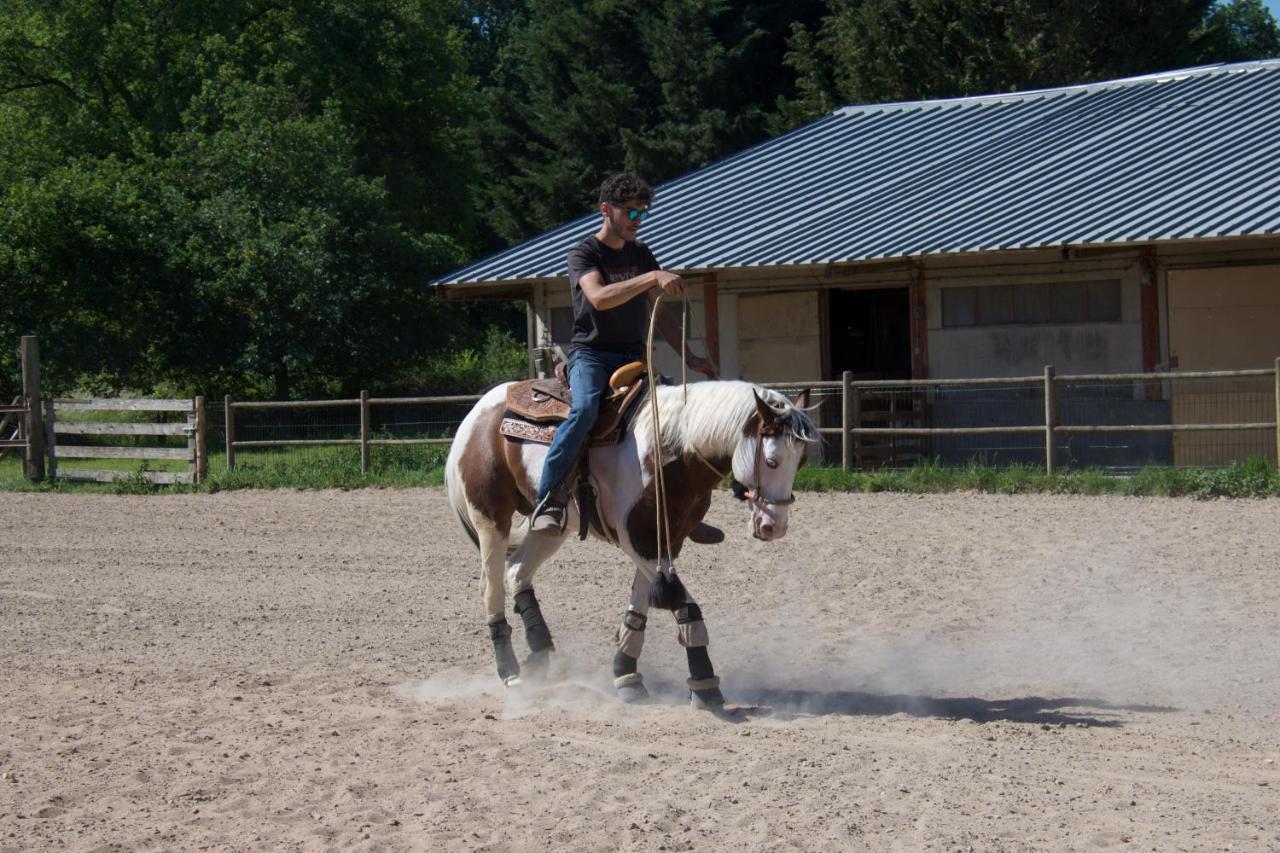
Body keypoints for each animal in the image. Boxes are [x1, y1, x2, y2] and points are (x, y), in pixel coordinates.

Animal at [445, 376, 814, 701]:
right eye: (772, 461)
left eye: (801, 462)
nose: (774, 526)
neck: (670, 451)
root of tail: (478, 412)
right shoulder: (638, 541)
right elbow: (682, 603)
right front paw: (704, 684)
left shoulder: (666, 541)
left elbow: (641, 606)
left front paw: (626, 674)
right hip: (490, 520)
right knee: (491, 587)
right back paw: (510, 671)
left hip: (551, 528)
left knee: (517, 572)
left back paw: (540, 655)